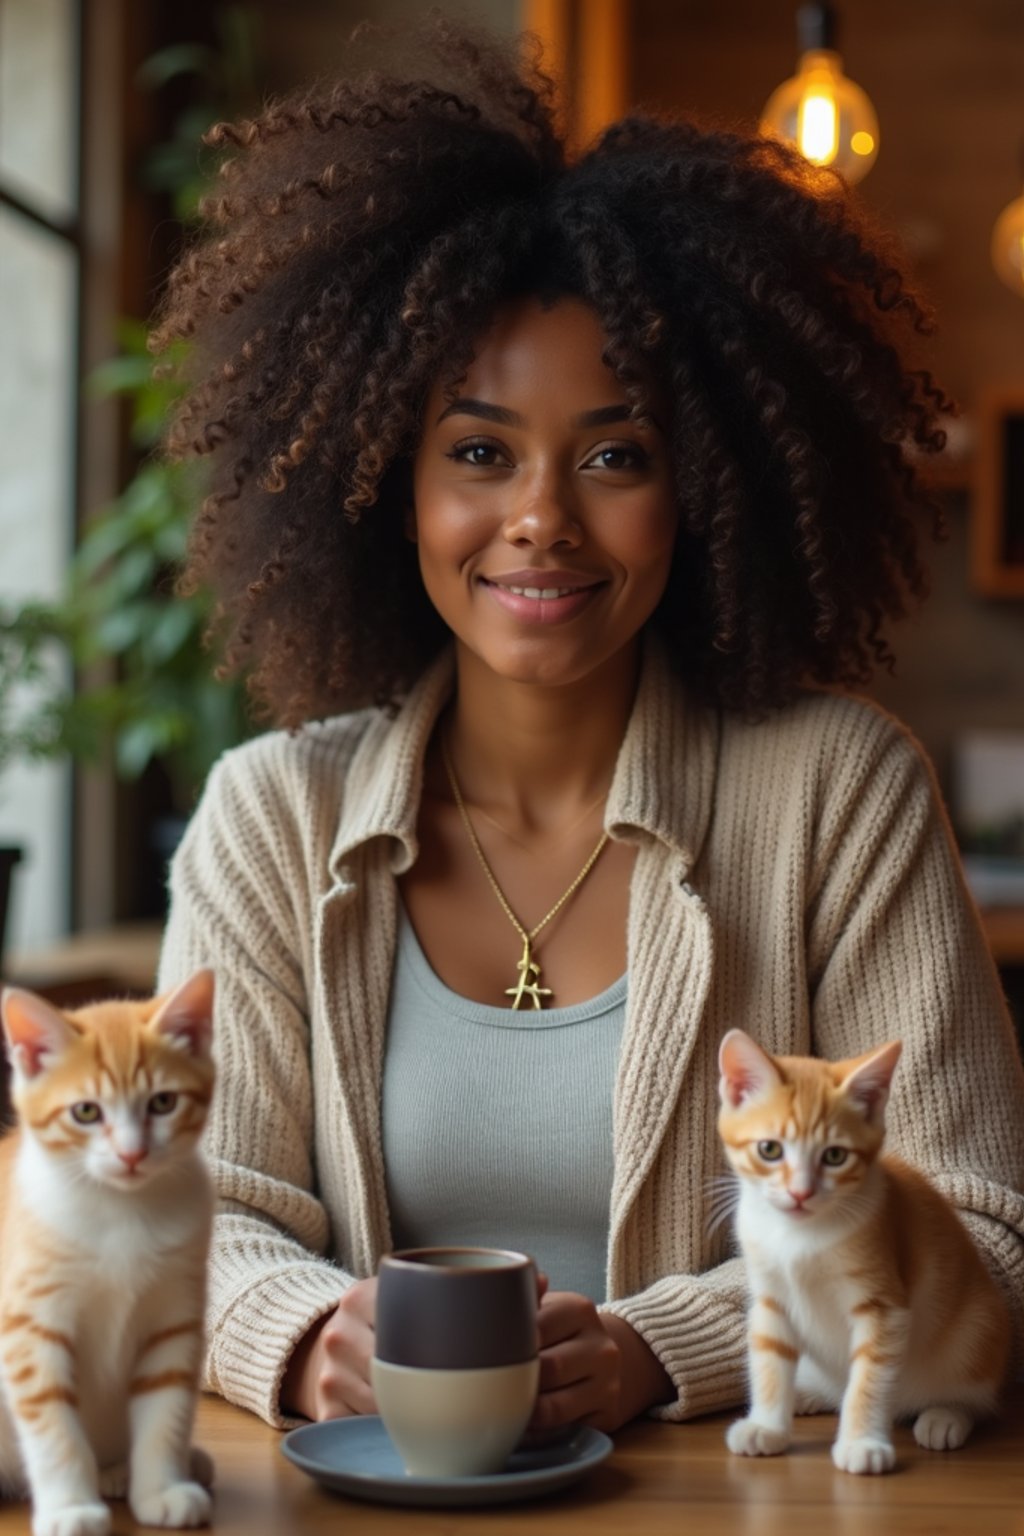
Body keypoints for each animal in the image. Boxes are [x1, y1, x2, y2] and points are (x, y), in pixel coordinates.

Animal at [0, 970, 214, 1536]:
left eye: (162, 1103)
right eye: (86, 1111)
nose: (132, 1153)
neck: (121, 1208)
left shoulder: (174, 1315)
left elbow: (166, 1409)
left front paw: (162, 1487)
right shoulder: (29, 1322)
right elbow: (52, 1423)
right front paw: (70, 1507)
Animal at [721, 1032, 1007, 1474]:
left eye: (835, 1155)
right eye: (769, 1149)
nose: (800, 1193)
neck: (797, 1234)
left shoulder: (883, 1304)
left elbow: (869, 1375)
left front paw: (862, 1444)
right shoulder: (770, 1299)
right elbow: (769, 1358)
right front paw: (767, 1425)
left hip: (976, 1331)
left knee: (975, 1396)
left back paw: (946, 1416)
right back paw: (805, 1396)